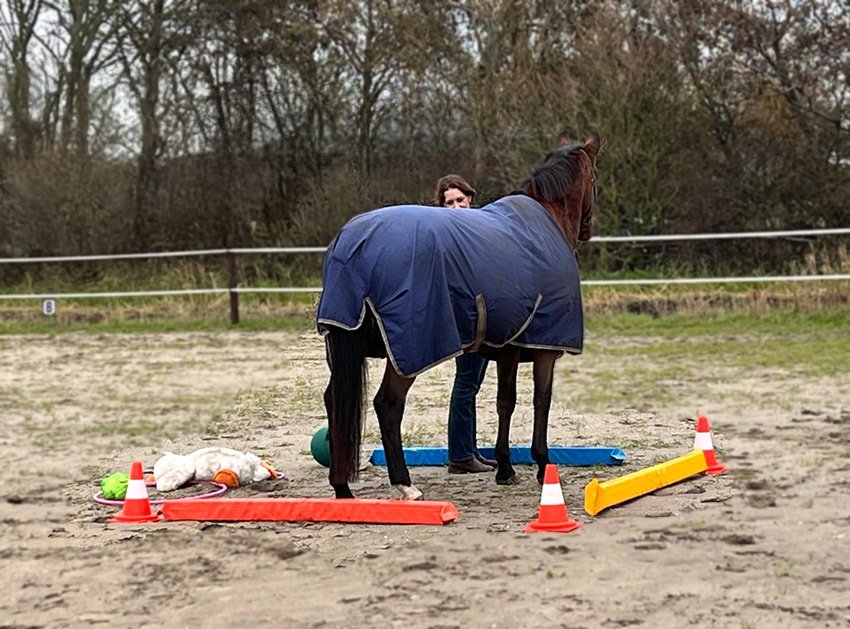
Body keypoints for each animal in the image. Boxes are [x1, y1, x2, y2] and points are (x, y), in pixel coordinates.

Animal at [317, 134, 599, 500]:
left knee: (335, 401)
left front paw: (505, 467)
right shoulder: (542, 348)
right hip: (408, 352)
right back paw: (405, 484)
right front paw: (540, 465)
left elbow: (504, 403)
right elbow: (538, 401)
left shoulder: (507, 348)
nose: (589, 228)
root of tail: (351, 243)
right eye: (594, 177)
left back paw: (343, 489)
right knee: (388, 404)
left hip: (342, 346)